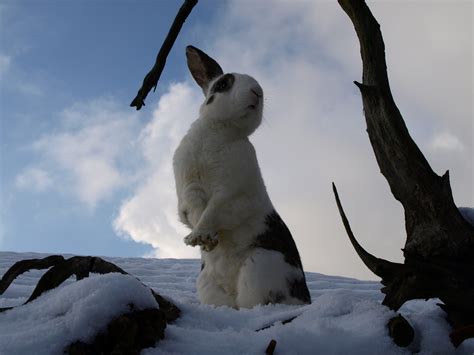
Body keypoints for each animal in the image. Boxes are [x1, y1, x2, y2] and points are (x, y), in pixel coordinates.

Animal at [174, 46, 312, 308]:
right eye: (224, 83)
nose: (257, 92)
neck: (220, 130)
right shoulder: (189, 188)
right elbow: (195, 211)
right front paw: (200, 240)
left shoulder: (231, 191)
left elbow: (214, 210)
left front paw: (201, 236)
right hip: (208, 284)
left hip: (259, 267)